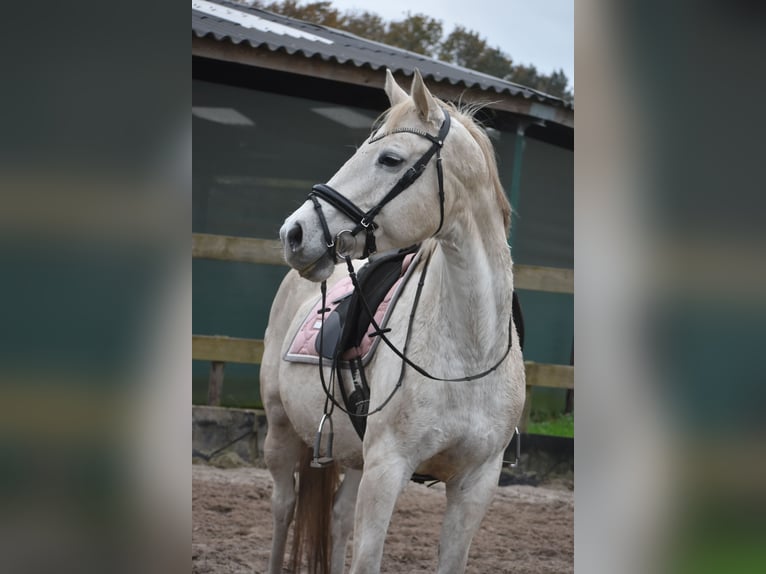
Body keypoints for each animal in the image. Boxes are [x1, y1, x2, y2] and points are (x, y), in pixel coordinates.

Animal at [260, 68, 524, 574]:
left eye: (389, 158)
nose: (294, 233)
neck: (467, 351)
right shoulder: (387, 470)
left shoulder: (475, 483)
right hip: (281, 430)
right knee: (283, 509)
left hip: (352, 458)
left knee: (337, 518)